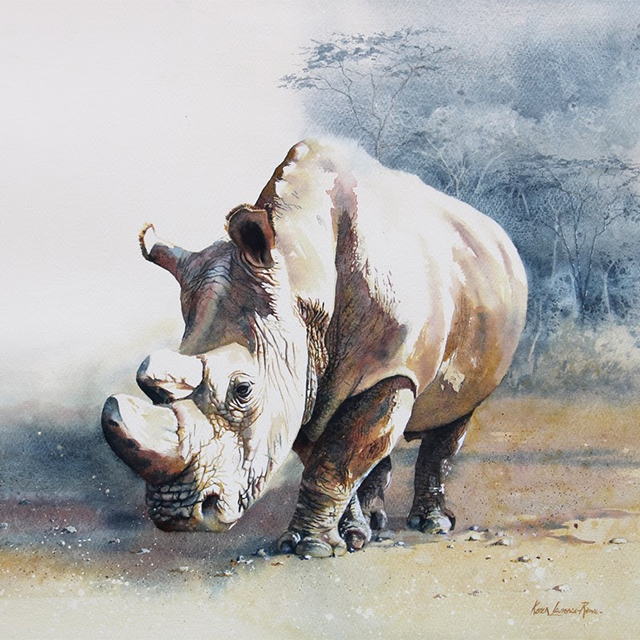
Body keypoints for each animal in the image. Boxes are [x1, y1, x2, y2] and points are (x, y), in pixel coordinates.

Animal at [102, 138, 527, 558]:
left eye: (243, 390)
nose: (176, 515)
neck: (300, 274)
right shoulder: (301, 372)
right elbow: (326, 454)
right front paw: (348, 536)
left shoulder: (388, 370)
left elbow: (336, 460)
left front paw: (310, 548)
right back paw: (375, 524)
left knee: (453, 419)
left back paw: (433, 525)